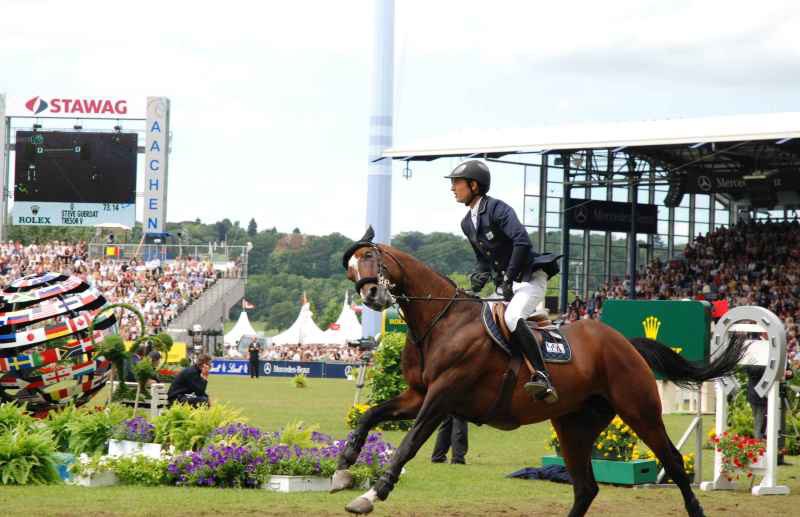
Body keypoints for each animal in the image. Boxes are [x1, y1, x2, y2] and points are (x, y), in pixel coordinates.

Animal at [332, 228, 744, 512]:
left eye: (370, 259)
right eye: (351, 272)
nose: (371, 296)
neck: (440, 322)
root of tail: (624, 343)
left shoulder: (441, 397)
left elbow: (408, 445)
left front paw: (371, 494)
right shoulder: (419, 395)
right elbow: (370, 415)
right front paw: (343, 465)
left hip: (639, 410)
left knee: (672, 463)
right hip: (574, 424)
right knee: (586, 487)